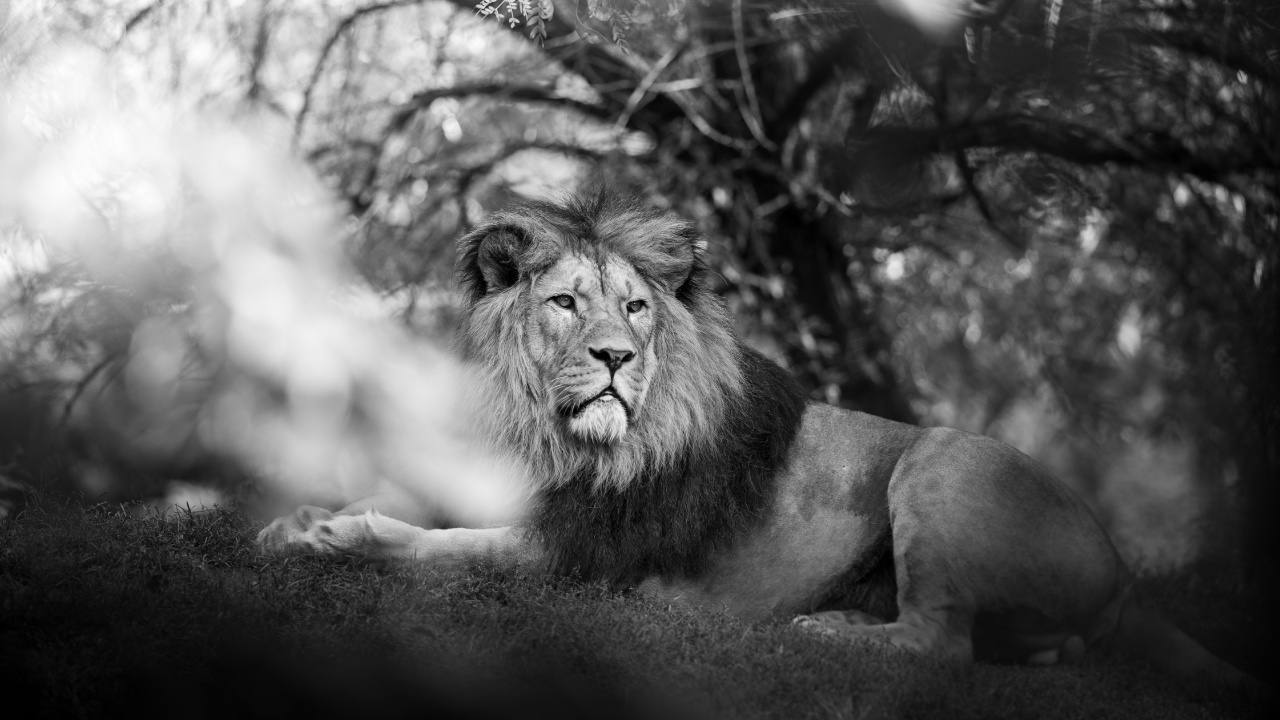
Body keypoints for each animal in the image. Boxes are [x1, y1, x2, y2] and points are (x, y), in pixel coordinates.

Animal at [258, 186, 1257, 689]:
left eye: (635, 308)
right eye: (566, 303)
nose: (617, 357)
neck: (548, 432)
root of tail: (1123, 572)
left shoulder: (577, 556)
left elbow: (445, 548)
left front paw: (342, 534)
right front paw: (293, 520)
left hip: (945, 456)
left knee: (942, 645)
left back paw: (828, 633)